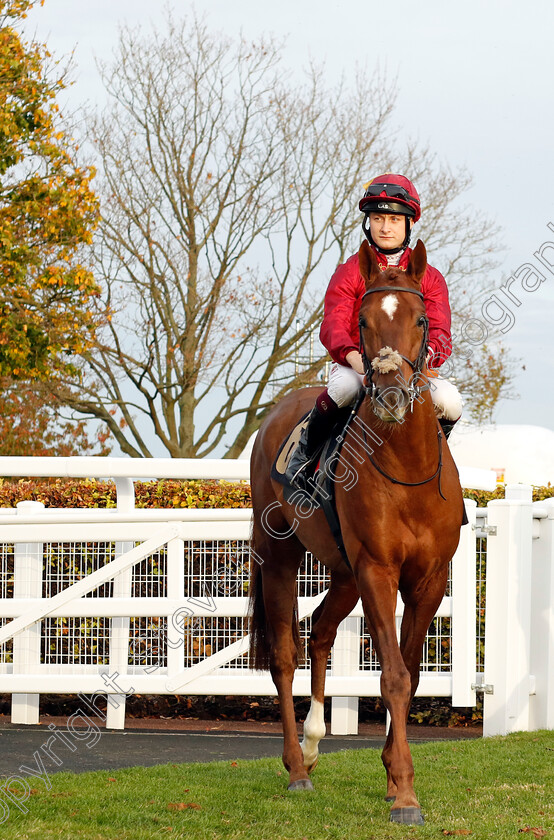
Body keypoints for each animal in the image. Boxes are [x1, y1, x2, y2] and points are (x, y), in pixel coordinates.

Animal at [248, 240, 464, 824]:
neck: (407, 467)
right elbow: (392, 676)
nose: (390, 396)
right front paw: (406, 793)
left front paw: (392, 777)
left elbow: (410, 674)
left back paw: (315, 742)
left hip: (343, 574)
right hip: (281, 556)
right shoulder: (378, 571)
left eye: (422, 318)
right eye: (364, 321)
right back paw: (296, 767)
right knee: (284, 655)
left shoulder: (428, 580)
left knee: (321, 631)